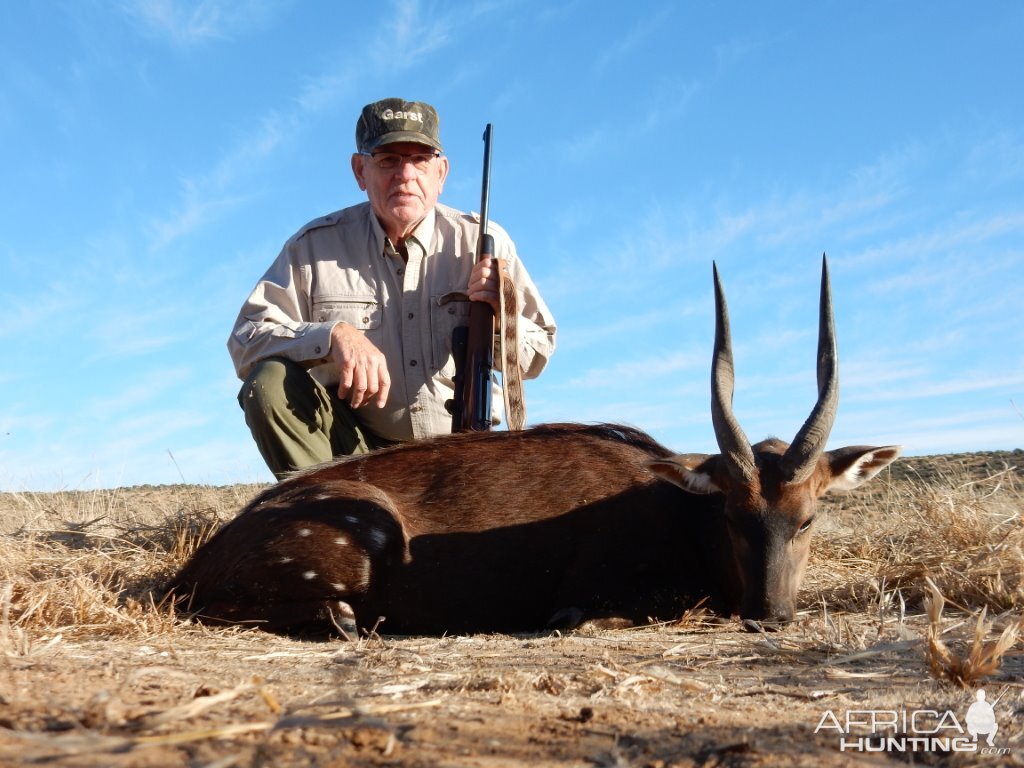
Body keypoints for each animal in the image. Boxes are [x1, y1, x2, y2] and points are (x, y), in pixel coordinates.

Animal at [165, 259, 897, 638]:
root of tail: (193, 567)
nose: (770, 616)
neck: (676, 509)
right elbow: (584, 612)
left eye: (808, 519)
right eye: (733, 516)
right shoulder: (600, 587)